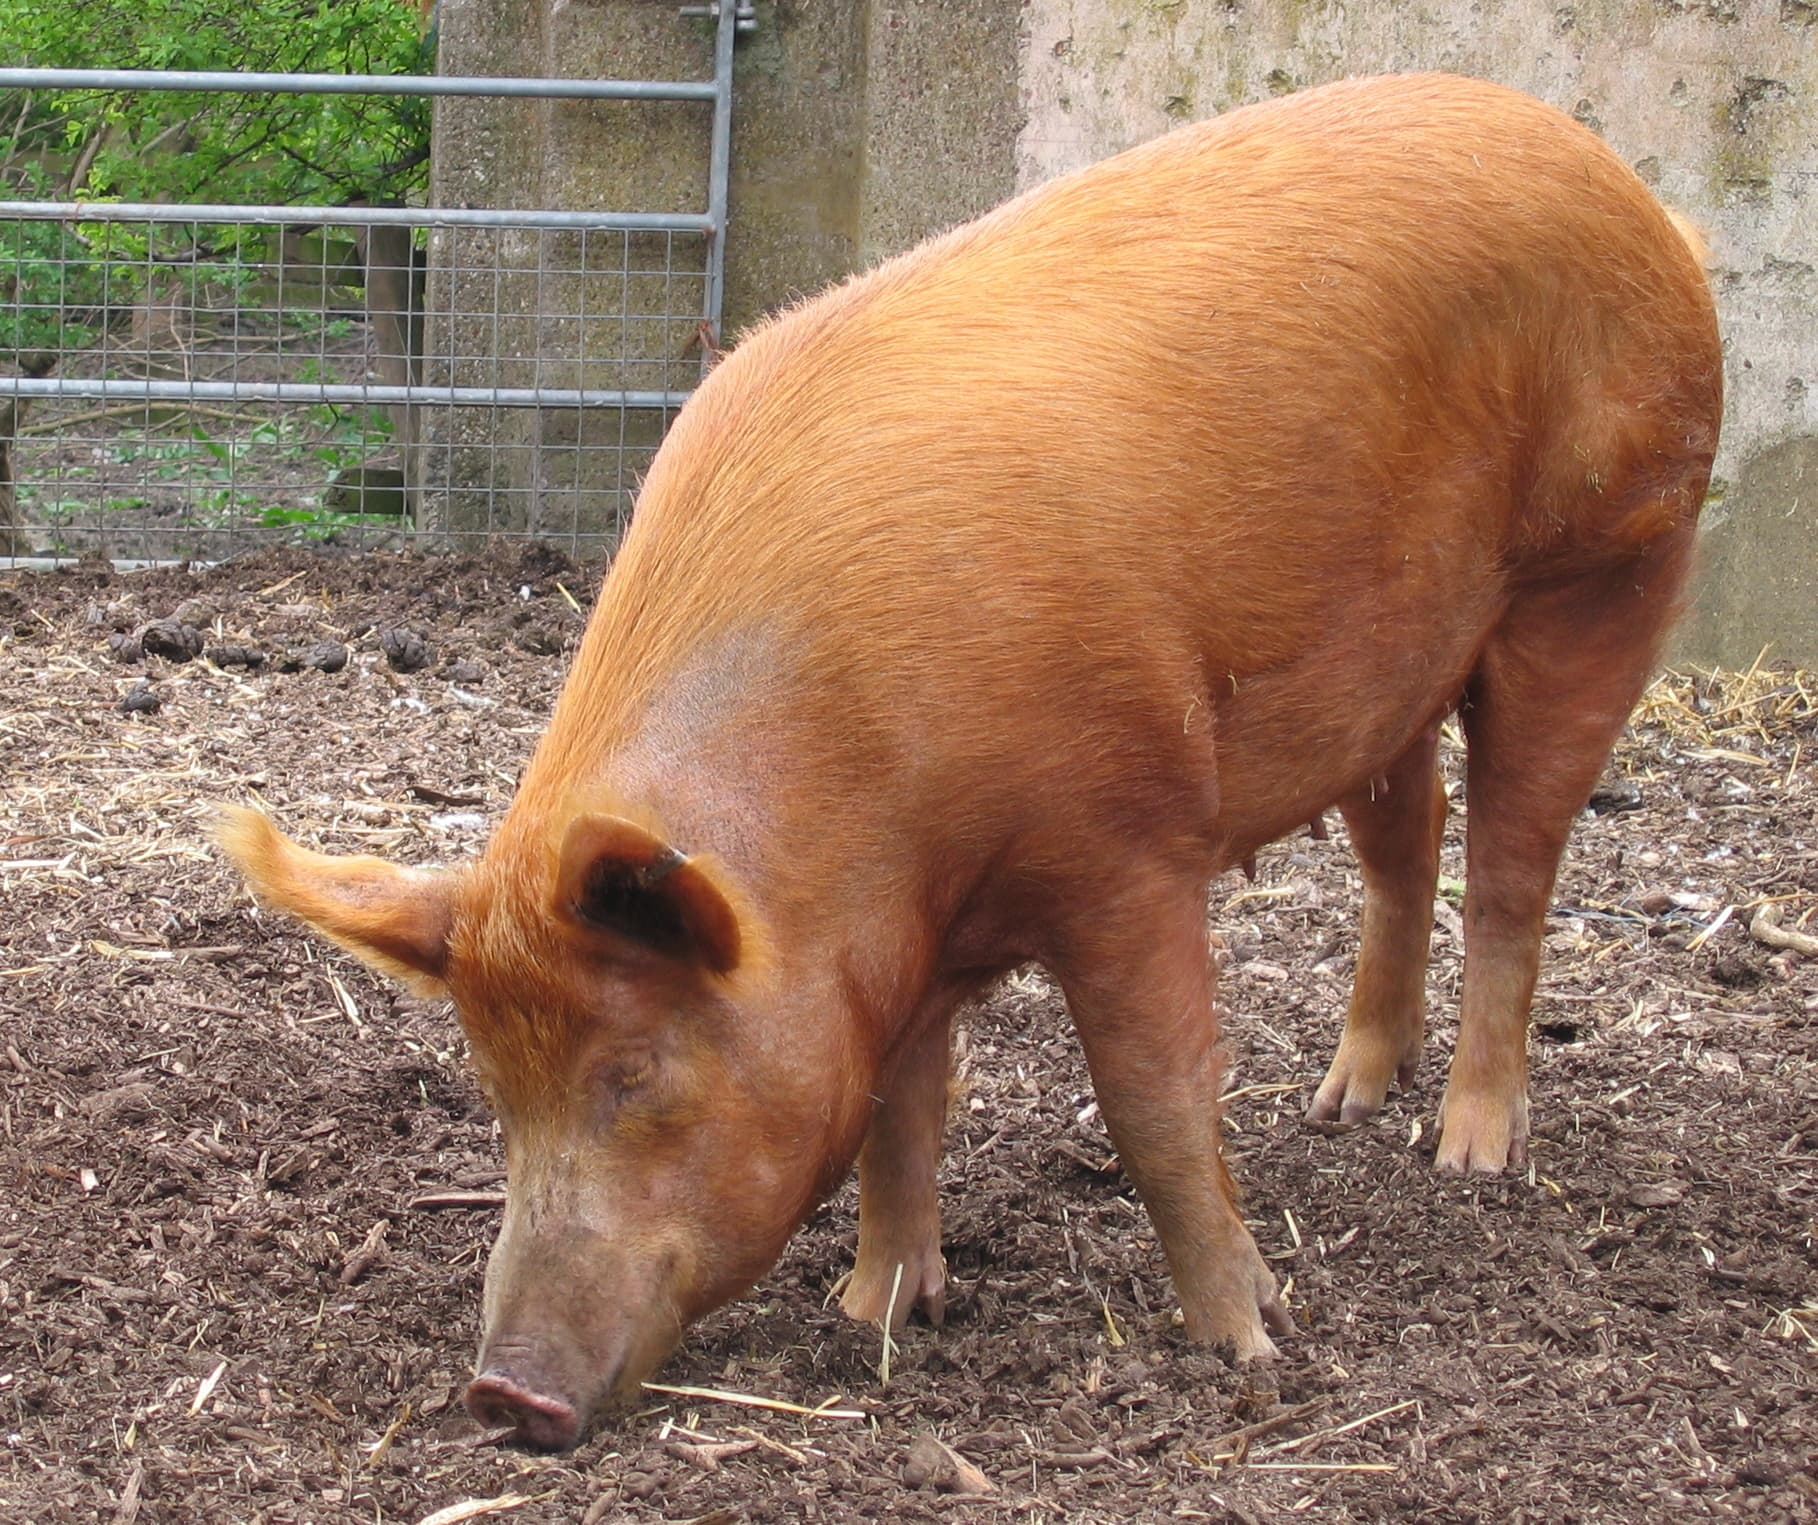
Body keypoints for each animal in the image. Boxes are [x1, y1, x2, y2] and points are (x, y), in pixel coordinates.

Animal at [219, 72, 1722, 1450]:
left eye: (633, 1072)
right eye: (494, 1087)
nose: (504, 1392)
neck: (871, 823)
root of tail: (1626, 186)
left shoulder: (1127, 840)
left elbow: (1152, 1100)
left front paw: (1248, 1344)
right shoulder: (898, 941)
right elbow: (899, 1106)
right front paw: (876, 1310)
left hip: (1607, 564)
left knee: (1514, 863)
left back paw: (1466, 1156)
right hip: (1392, 668)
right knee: (1407, 842)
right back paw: (1344, 1099)